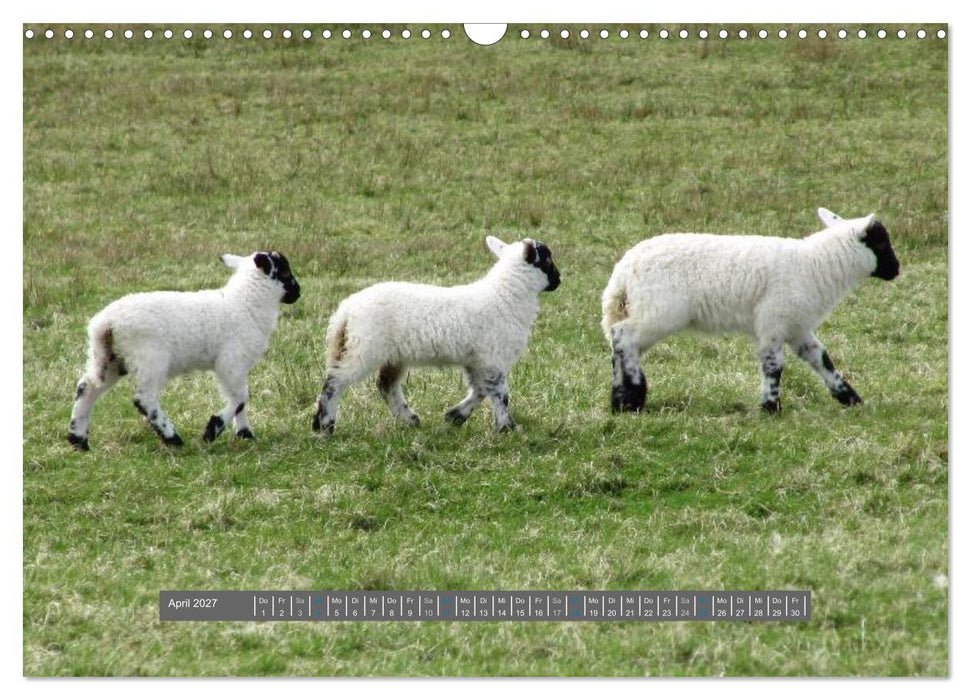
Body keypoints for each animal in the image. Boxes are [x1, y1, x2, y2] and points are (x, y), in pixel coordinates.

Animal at [67, 251, 301, 450]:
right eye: (285, 271)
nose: (298, 292)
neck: (245, 303)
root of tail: (105, 323)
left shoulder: (236, 366)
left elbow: (239, 399)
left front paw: (245, 434)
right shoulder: (231, 361)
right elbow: (241, 397)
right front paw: (212, 430)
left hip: (111, 359)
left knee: (86, 388)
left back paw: (78, 439)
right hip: (150, 358)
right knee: (144, 399)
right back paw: (172, 438)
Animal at [312, 236, 560, 434]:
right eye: (547, 260)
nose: (559, 280)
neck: (505, 296)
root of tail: (346, 311)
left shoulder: (477, 359)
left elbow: (480, 390)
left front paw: (455, 416)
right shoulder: (493, 358)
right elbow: (500, 394)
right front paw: (506, 428)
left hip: (389, 354)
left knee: (385, 385)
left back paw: (410, 419)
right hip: (364, 349)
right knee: (335, 382)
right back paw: (324, 426)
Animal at [601, 209, 900, 414]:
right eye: (881, 242)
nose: (896, 270)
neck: (816, 265)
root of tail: (624, 270)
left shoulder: (797, 327)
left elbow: (821, 359)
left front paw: (850, 398)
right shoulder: (773, 321)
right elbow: (774, 365)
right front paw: (770, 408)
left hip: (644, 309)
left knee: (619, 344)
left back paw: (621, 400)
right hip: (659, 312)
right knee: (623, 337)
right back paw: (634, 394)